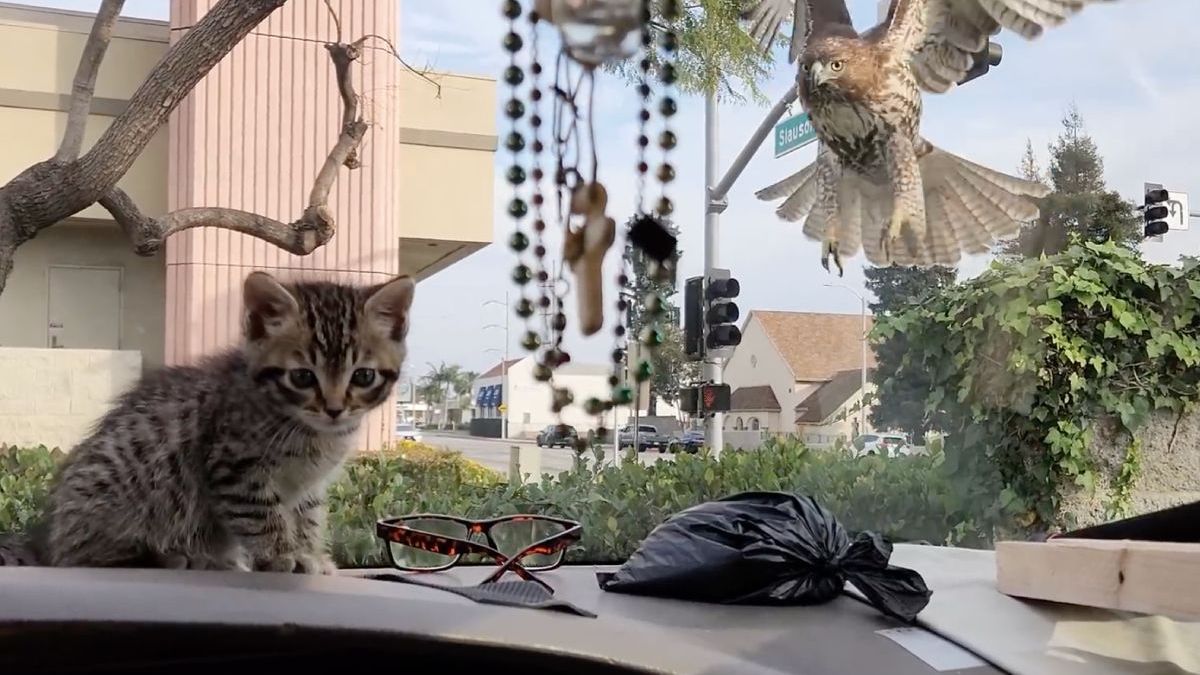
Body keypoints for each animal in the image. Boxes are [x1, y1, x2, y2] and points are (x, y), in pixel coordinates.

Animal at [4, 270, 415, 569]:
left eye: (363, 376)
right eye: (302, 377)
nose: (334, 408)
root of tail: (47, 538)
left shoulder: (308, 486)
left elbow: (308, 517)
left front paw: (309, 553)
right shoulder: (234, 466)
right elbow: (263, 515)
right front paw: (282, 555)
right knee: (82, 555)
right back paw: (168, 556)